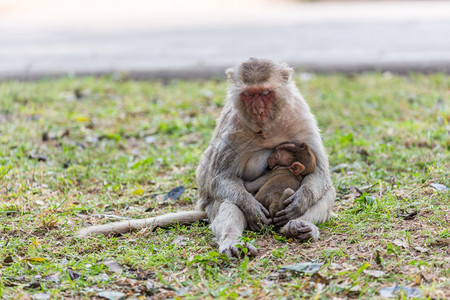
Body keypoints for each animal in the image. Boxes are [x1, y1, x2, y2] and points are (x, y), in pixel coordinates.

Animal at [79, 58, 336, 258]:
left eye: (265, 93)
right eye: (248, 95)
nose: (257, 111)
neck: (268, 126)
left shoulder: (301, 115)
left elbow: (320, 173)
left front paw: (299, 202)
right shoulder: (233, 127)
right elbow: (220, 179)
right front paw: (251, 209)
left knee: (326, 190)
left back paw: (298, 226)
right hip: (212, 206)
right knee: (228, 200)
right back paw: (233, 242)